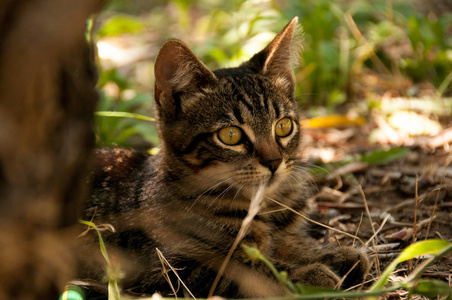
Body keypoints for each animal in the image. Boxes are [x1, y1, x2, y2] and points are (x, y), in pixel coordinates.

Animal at [77, 18, 368, 298]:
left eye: (283, 126)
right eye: (230, 135)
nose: (274, 162)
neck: (262, 207)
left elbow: (287, 247)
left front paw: (330, 254)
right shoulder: (167, 269)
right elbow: (250, 270)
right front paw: (311, 273)